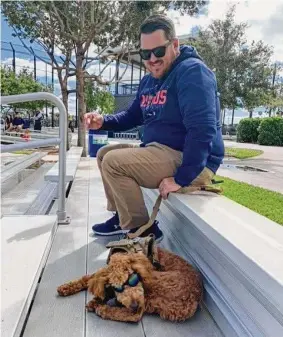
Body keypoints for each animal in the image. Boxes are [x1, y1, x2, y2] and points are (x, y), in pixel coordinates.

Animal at [57, 245, 204, 322]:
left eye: (132, 278)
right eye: (117, 287)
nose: (134, 304)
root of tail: (194, 300)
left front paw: (99, 302)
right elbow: (89, 278)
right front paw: (66, 287)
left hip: (155, 286)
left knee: (135, 316)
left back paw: (103, 309)